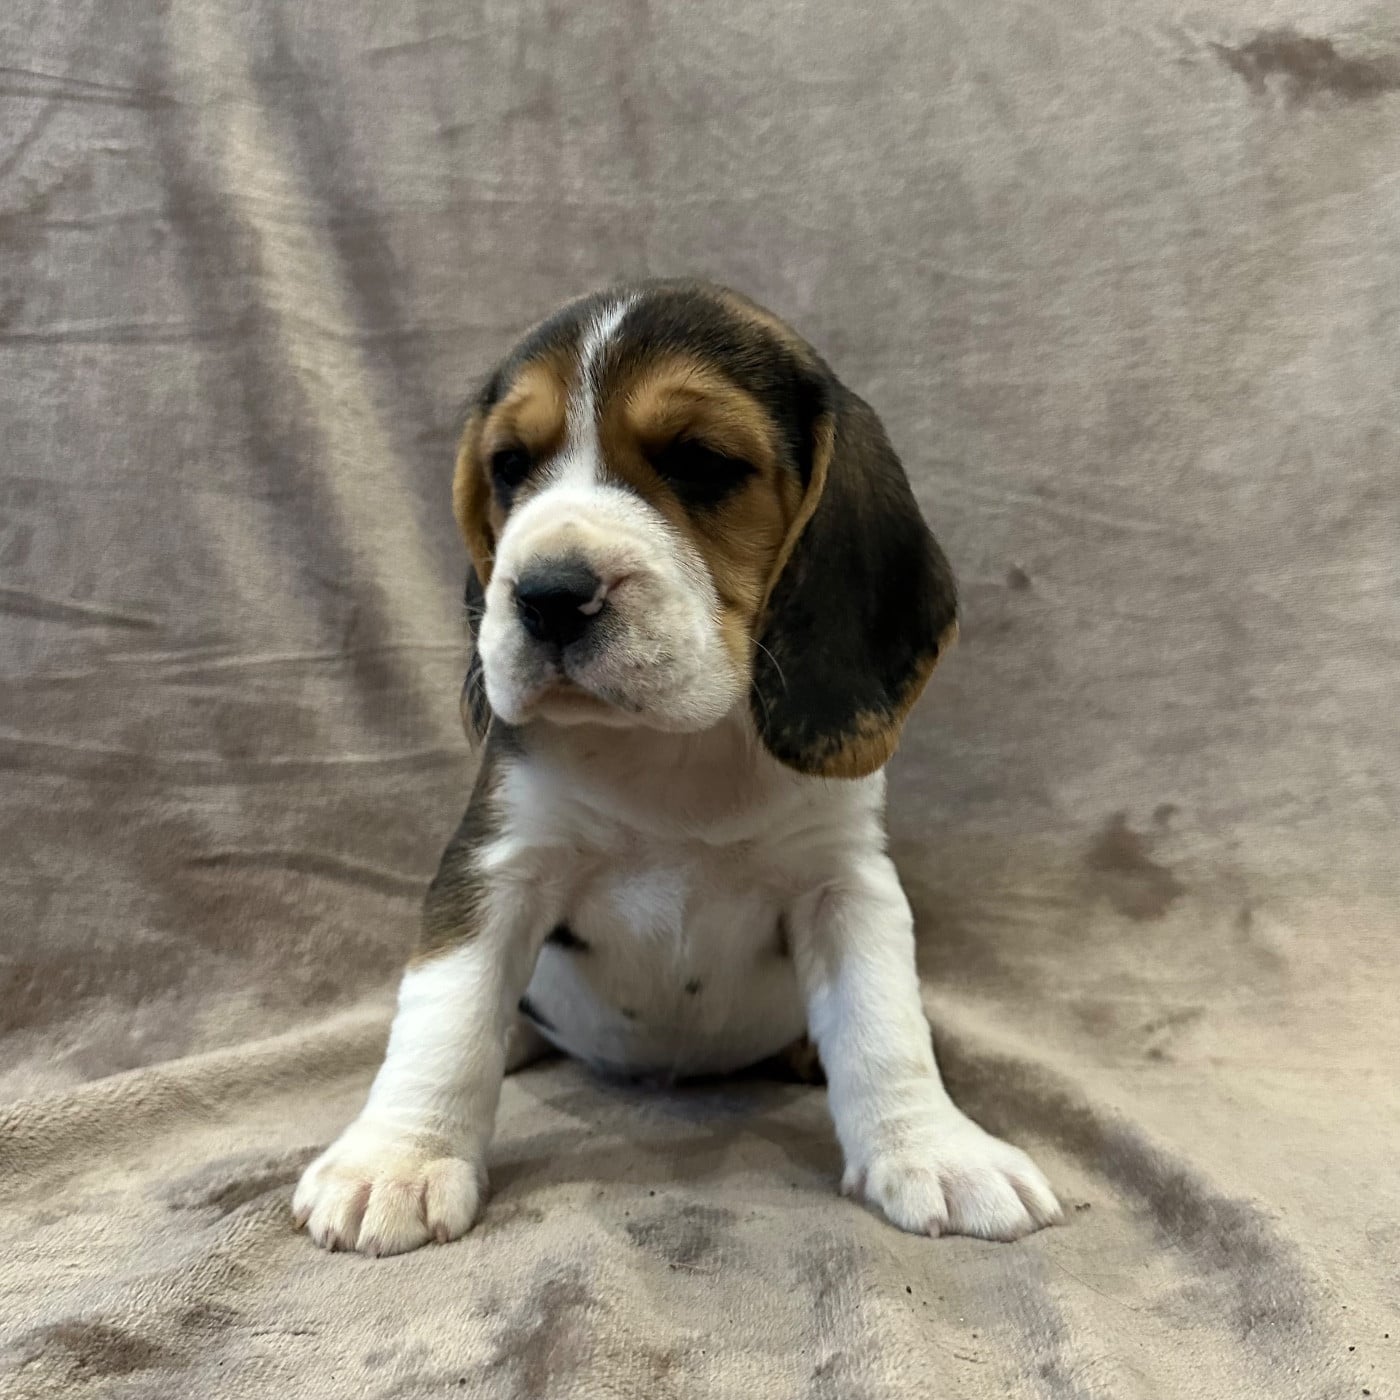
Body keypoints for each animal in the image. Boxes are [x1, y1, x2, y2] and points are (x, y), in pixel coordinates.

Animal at [292, 281, 1061, 1256]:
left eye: (700, 462)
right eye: (508, 466)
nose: (547, 595)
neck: (671, 744)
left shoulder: (845, 884)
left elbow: (885, 1024)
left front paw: (938, 1150)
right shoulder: (495, 864)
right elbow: (446, 1016)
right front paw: (397, 1159)